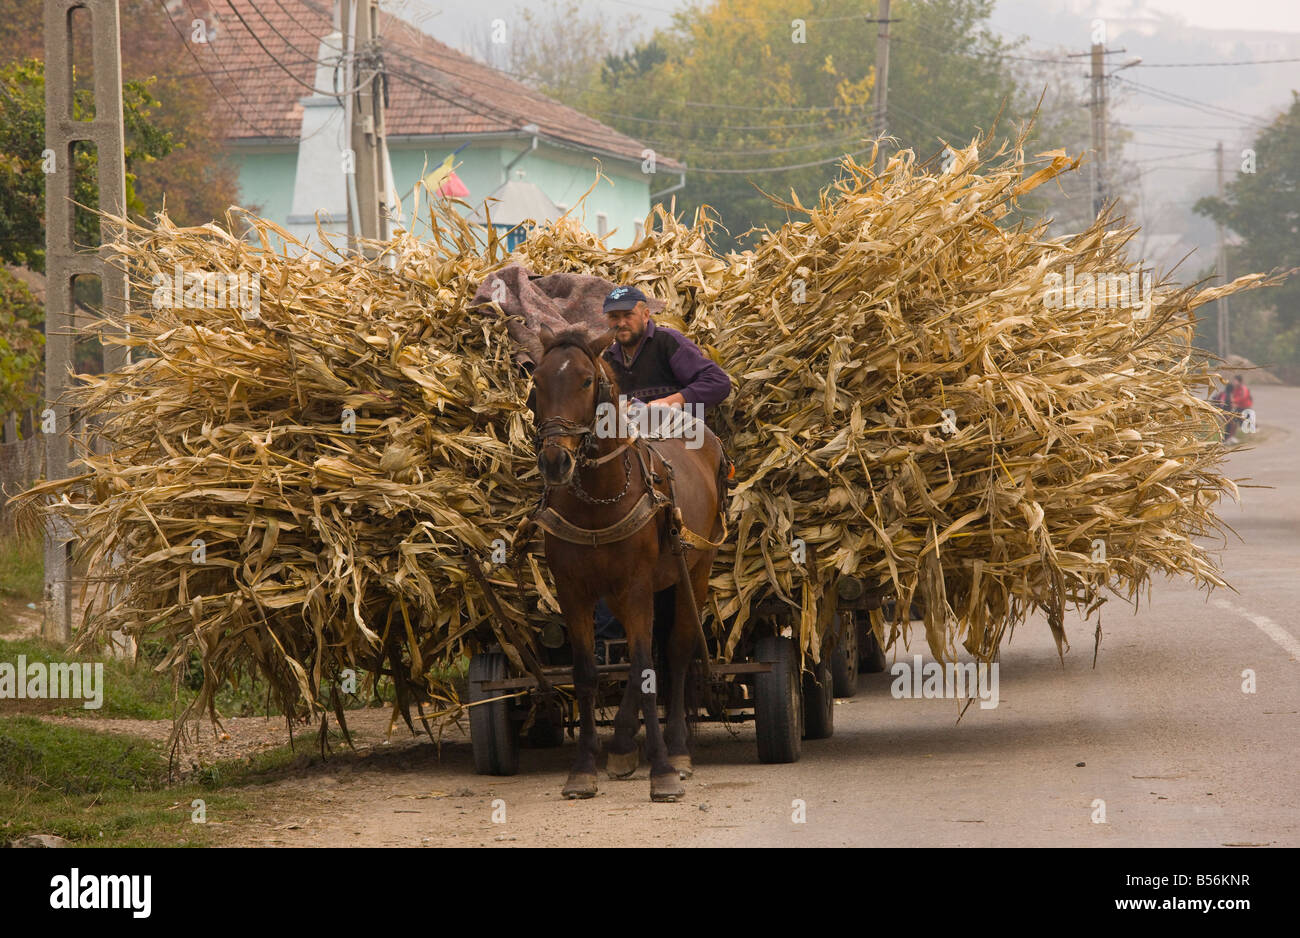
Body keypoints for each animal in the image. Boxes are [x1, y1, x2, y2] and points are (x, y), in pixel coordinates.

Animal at [530, 324, 733, 800]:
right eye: (537, 383)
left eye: (586, 381)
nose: (555, 461)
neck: (598, 499)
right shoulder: (575, 591)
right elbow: (588, 673)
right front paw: (583, 768)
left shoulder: (636, 585)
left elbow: (644, 670)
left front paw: (663, 771)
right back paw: (622, 744)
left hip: (693, 573)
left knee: (674, 652)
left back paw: (677, 749)